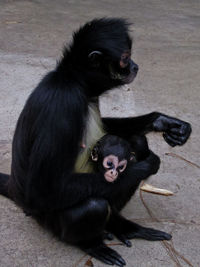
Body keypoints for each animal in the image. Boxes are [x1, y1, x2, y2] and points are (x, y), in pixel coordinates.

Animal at [0, 17, 191, 266]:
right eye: (126, 58)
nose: (136, 66)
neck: (76, 84)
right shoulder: (63, 104)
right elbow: (42, 190)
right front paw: (147, 165)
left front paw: (162, 121)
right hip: (48, 220)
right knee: (94, 205)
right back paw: (91, 243)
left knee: (137, 141)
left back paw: (121, 226)